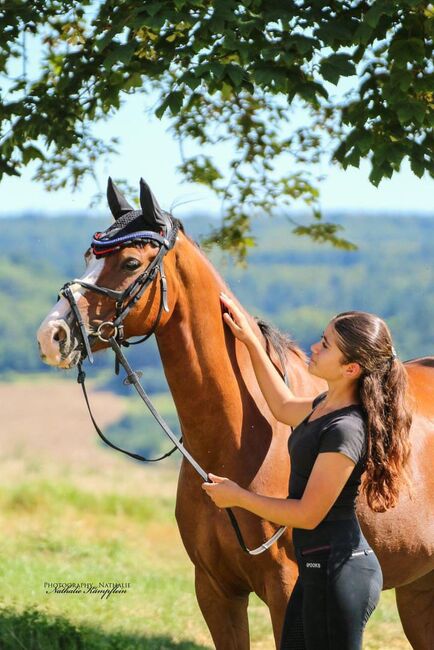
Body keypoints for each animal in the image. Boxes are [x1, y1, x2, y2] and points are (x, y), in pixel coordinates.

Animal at [37, 178, 434, 648]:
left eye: (130, 261)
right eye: (88, 256)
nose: (52, 335)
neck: (239, 441)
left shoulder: (285, 590)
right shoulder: (214, 589)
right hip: (418, 591)